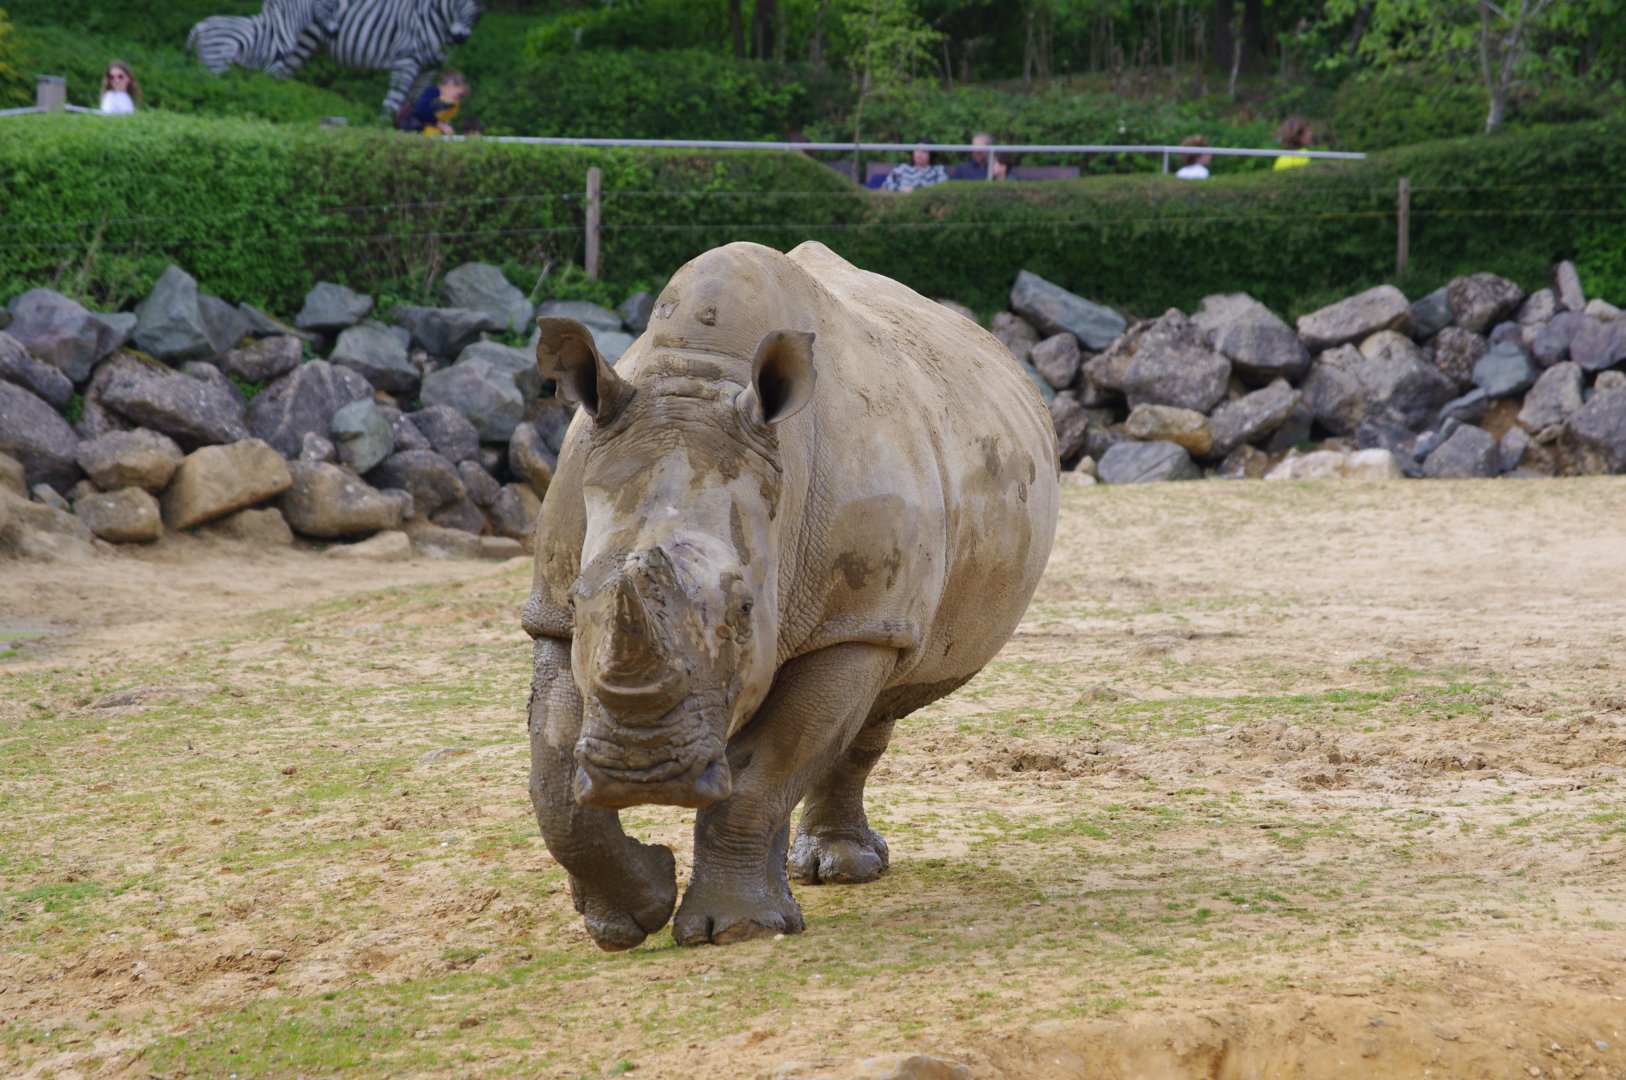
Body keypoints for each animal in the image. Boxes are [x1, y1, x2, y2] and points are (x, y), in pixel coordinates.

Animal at [524, 241, 1059, 949]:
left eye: (746, 610)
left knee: (874, 701)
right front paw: (625, 918)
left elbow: (767, 768)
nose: (644, 774)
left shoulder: (855, 621)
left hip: (884, 602)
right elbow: (554, 775)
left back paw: (840, 871)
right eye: (584, 597)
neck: (698, 379)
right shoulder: (554, 615)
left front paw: (736, 931)